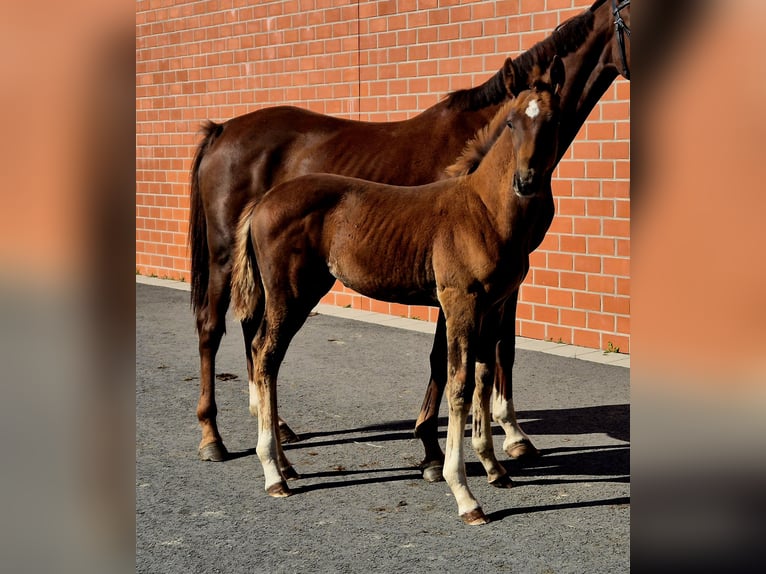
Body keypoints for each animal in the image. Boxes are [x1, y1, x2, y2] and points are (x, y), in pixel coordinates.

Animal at [230, 58, 565, 525]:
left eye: (553, 121)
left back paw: (285, 465)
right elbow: (459, 385)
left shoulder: (493, 305)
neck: (484, 209)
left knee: (269, 358)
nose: (526, 180)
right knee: (264, 354)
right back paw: (273, 473)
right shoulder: (460, 301)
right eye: (513, 122)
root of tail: (263, 201)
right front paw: (464, 493)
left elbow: (483, 377)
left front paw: (494, 468)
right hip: (289, 293)